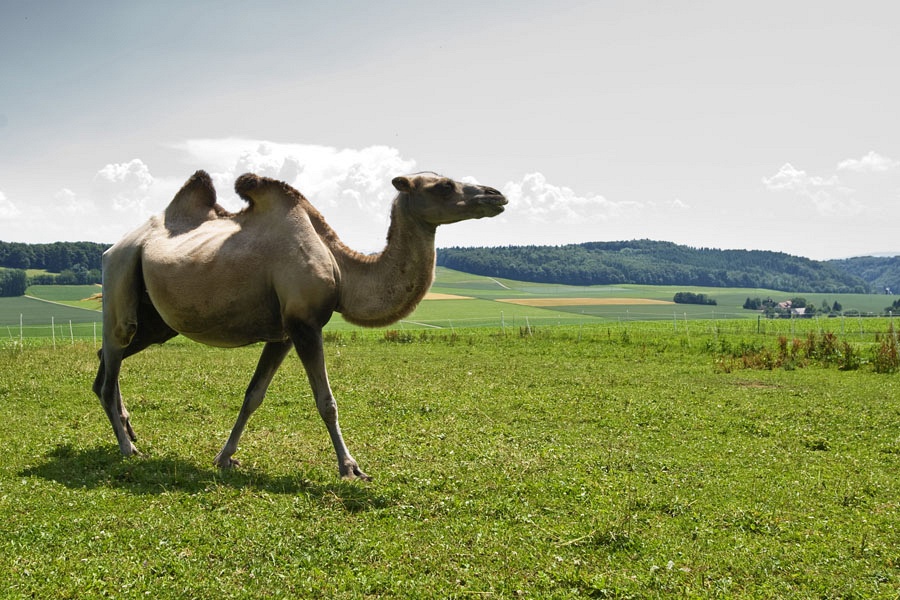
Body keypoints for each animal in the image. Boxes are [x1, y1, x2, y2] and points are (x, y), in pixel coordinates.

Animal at [93, 169, 507, 480]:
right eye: (444, 186)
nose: (496, 194)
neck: (342, 270)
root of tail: (115, 247)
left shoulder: (284, 333)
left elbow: (253, 395)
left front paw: (225, 457)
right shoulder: (305, 323)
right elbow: (327, 401)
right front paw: (350, 467)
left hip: (156, 321)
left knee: (106, 361)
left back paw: (130, 430)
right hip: (121, 274)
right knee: (112, 358)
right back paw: (128, 447)